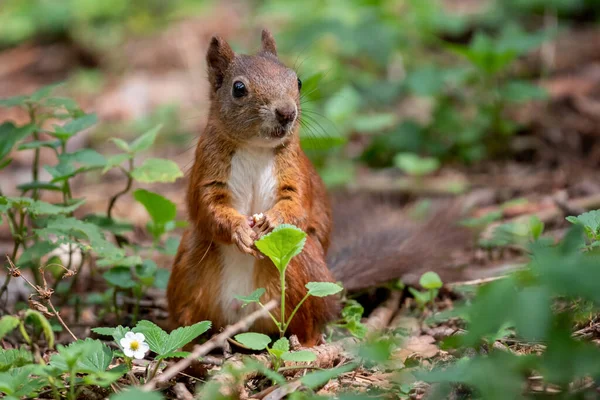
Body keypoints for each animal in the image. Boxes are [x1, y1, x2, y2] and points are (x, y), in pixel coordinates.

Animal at [168, 29, 468, 346]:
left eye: (297, 81)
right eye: (238, 88)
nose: (286, 112)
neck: (254, 147)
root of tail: (245, 316)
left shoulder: (298, 174)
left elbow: (298, 204)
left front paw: (272, 221)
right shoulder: (207, 170)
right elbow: (207, 205)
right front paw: (239, 230)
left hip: (302, 265)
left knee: (307, 322)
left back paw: (307, 345)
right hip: (189, 269)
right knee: (190, 318)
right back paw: (194, 343)